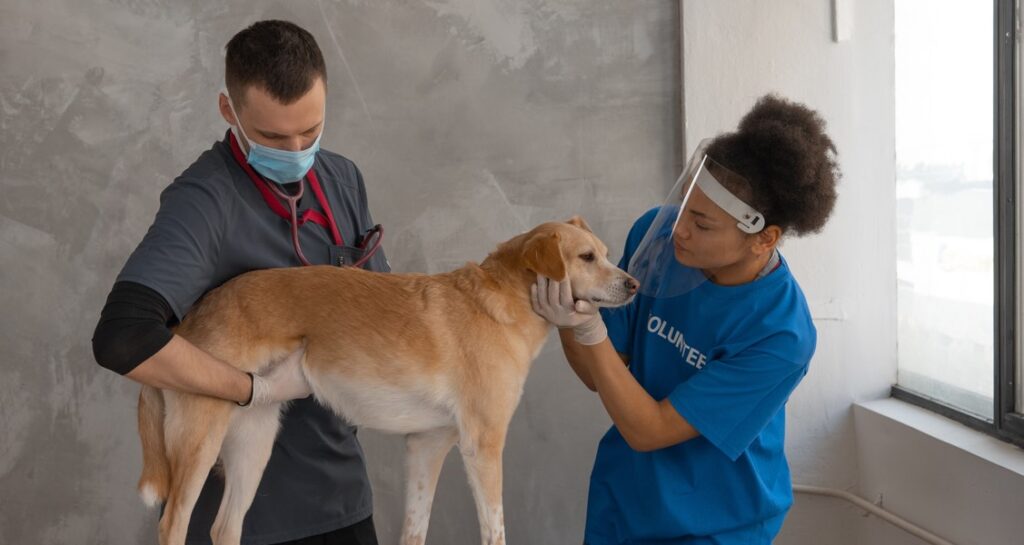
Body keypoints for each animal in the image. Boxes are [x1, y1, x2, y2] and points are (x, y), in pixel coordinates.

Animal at [133, 217, 634, 545]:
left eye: (608, 254)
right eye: (587, 257)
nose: (633, 284)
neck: (502, 301)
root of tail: (187, 321)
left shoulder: (427, 445)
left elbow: (415, 530)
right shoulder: (483, 445)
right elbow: (495, 529)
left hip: (253, 445)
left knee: (224, 528)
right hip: (200, 441)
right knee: (173, 524)